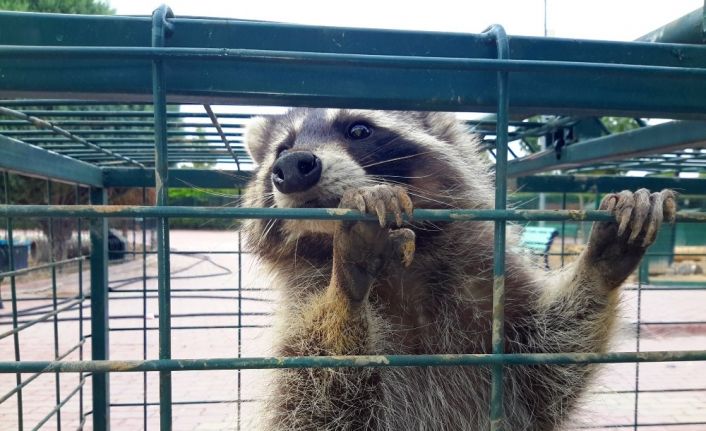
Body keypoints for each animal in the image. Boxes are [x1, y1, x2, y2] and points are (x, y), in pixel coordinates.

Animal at [242, 109, 676, 431]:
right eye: (283, 147)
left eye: (359, 129)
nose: (292, 165)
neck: (404, 267)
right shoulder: (302, 309)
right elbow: (310, 401)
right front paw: (343, 291)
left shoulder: (490, 297)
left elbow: (549, 362)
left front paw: (597, 267)